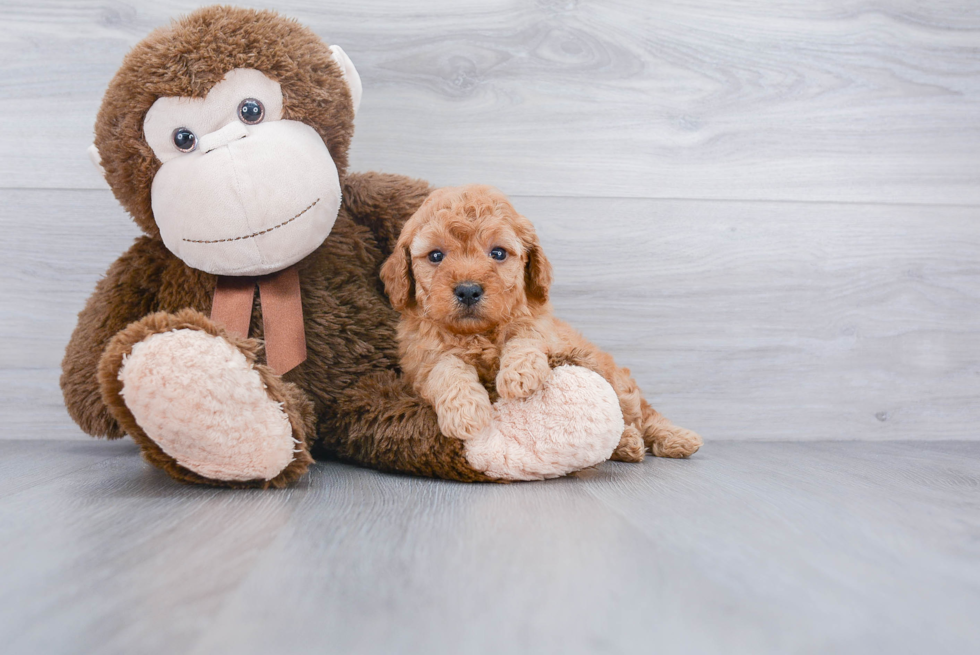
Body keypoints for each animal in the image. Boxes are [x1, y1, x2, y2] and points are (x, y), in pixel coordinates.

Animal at [378, 183, 700, 462]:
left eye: (497, 253)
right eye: (435, 255)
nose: (468, 290)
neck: (477, 334)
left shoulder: (541, 326)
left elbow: (525, 337)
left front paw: (519, 375)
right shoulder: (421, 359)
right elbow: (445, 369)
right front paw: (465, 412)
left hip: (615, 378)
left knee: (642, 413)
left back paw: (675, 438)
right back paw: (628, 443)